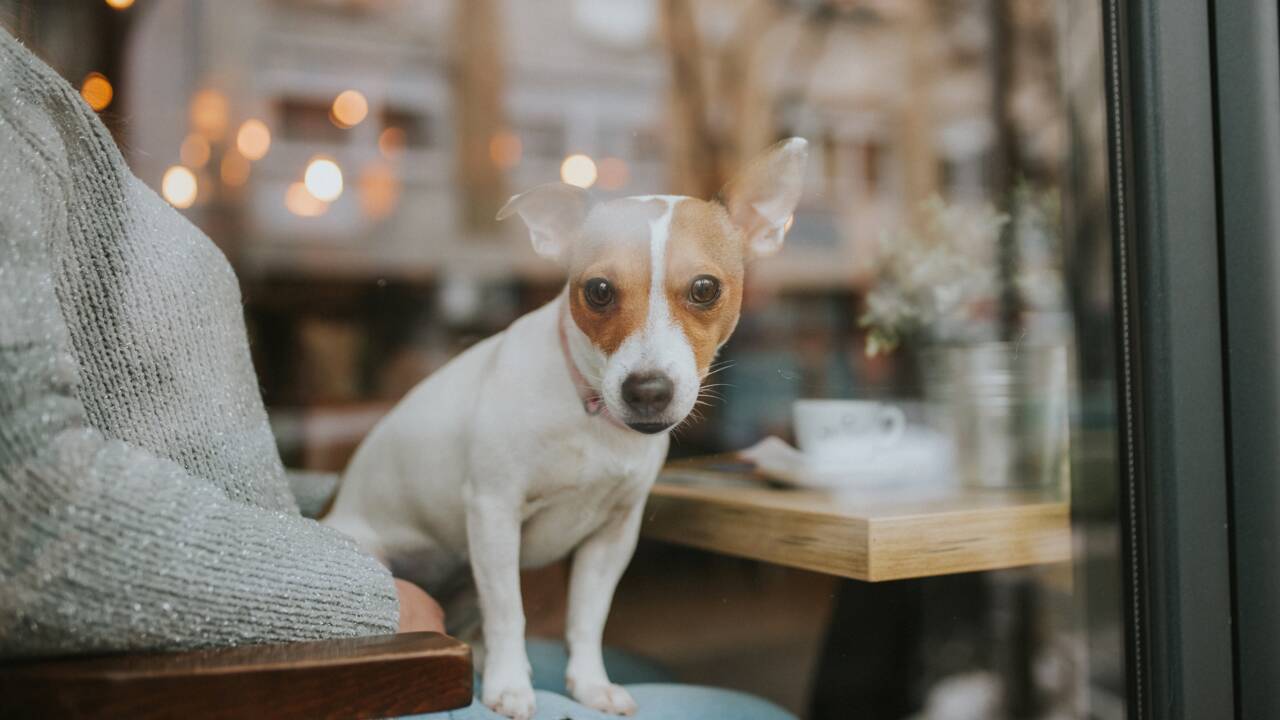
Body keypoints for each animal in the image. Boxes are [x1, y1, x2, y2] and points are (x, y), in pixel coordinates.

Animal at [327, 137, 808, 712]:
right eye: (598, 290)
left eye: (705, 289)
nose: (647, 390)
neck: (590, 418)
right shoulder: (494, 513)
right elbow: (510, 613)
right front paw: (511, 686)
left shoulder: (612, 537)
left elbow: (587, 617)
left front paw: (589, 684)